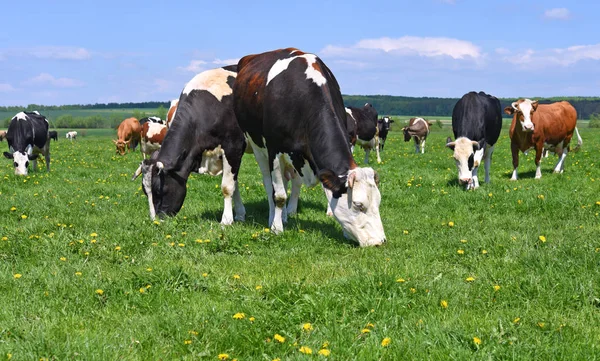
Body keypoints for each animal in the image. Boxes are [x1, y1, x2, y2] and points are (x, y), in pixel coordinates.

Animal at [131, 64, 246, 222]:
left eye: (159, 190)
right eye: (145, 191)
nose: (156, 220)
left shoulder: (233, 147)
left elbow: (227, 187)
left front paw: (226, 220)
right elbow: (234, 184)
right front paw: (240, 215)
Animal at [232, 46, 386, 246]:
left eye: (378, 203)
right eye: (358, 205)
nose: (379, 241)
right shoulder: (274, 150)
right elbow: (278, 194)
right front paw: (276, 228)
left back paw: (287, 213)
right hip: (258, 146)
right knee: (268, 183)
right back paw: (274, 216)